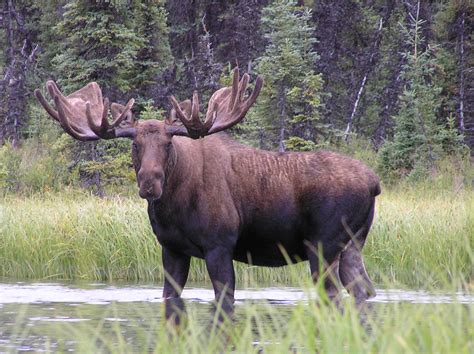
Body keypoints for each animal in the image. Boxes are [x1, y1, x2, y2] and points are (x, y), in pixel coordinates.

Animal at [34, 68, 382, 320]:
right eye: (135, 145)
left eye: (168, 144)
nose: (149, 183)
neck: (174, 208)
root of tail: (374, 182)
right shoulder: (172, 249)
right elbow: (170, 297)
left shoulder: (219, 245)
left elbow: (224, 302)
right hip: (353, 243)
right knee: (364, 290)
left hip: (322, 244)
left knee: (334, 295)